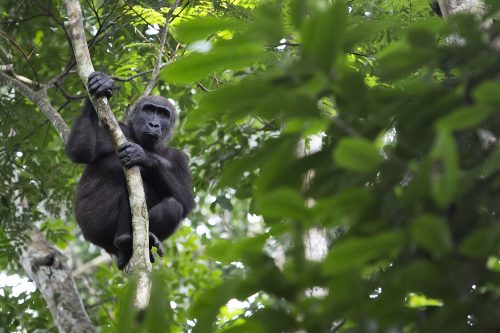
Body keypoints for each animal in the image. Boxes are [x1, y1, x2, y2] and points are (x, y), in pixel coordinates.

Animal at [65, 71, 193, 268]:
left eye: (163, 114)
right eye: (149, 111)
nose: (154, 124)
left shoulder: (179, 158)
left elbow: (186, 200)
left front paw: (143, 156)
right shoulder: (118, 128)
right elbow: (80, 150)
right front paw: (99, 85)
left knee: (173, 205)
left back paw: (131, 245)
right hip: (93, 227)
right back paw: (125, 240)